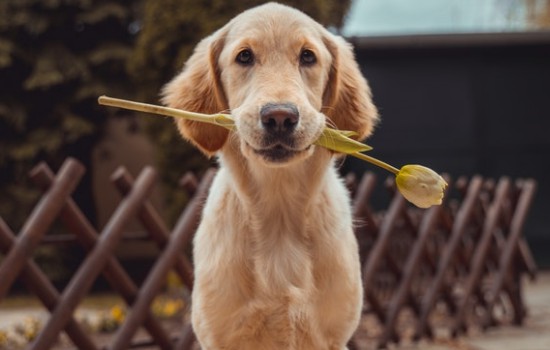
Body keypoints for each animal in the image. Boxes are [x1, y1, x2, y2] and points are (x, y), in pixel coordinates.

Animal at [163, 3, 380, 350]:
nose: (280, 117)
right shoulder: (218, 335)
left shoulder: (334, 336)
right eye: (244, 57)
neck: (279, 213)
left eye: (308, 57)